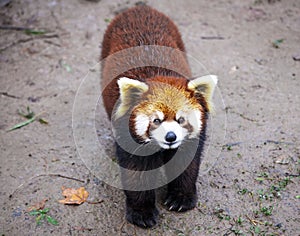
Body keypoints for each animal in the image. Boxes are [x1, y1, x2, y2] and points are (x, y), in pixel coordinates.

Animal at [101, 5, 218, 229]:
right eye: (156, 120)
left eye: (181, 119)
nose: (170, 137)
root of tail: (139, 8)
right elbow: (136, 173)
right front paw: (142, 212)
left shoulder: (192, 140)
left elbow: (187, 165)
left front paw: (181, 198)